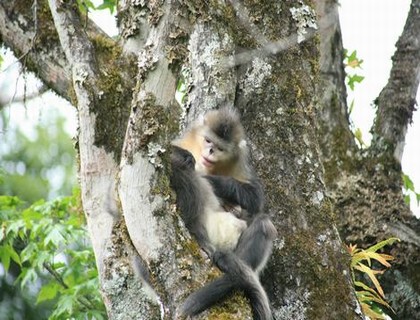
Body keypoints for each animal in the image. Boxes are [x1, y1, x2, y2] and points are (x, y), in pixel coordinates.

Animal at [169, 108, 278, 320]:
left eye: (219, 148)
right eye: (208, 141)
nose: (210, 151)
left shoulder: (240, 159)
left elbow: (256, 197)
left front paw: (214, 181)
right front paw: (187, 158)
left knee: (262, 224)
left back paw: (231, 272)